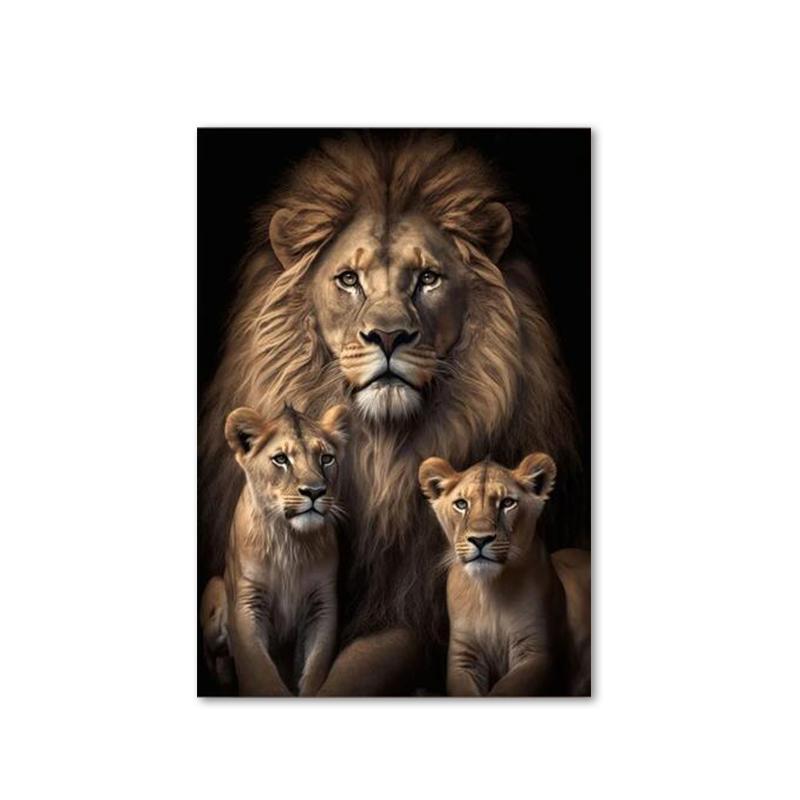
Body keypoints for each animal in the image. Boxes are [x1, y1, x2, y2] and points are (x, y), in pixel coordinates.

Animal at [201, 403, 348, 696]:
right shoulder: (246, 600)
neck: (289, 540)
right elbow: (259, 672)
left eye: (326, 458)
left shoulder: (323, 601)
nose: (315, 491)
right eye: (281, 459)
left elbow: (316, 666)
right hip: (215, 588)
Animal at [419, 453, 591, 696]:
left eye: (508, 503)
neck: (489, 591)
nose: (480, 539)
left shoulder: (536, 652)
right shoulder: (463, 656)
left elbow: (505, 689)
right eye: (461, 504)